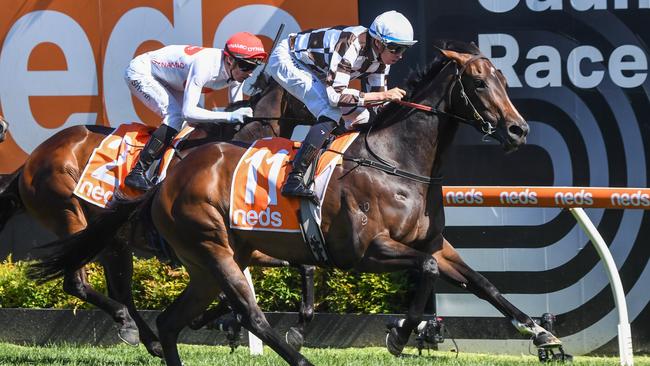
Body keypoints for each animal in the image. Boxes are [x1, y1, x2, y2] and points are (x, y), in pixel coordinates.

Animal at [27, 41, 560, 364]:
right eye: (478, 83)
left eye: (504, 80)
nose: (518, 130)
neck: (396, 161)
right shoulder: (363, 252)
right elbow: (425, 271)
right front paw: (398, 335)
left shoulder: (432, 242)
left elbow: (482, 283)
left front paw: (543, 336)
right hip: (187, 243)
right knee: (238, 313)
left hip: (202, 257)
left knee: (164, 313)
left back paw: (159, 337)